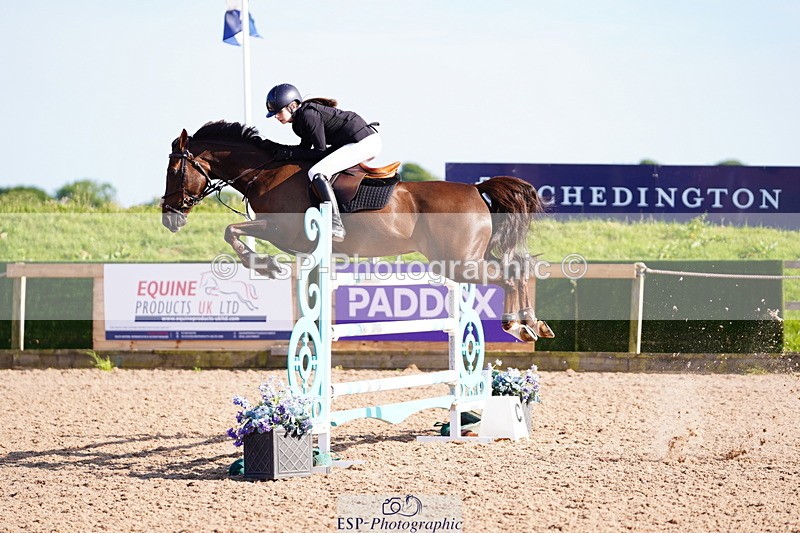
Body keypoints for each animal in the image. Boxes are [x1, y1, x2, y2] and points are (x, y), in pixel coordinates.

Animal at [160, 121, 554, 342]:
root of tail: (477, 189)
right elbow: (234, 230)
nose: (169, 218)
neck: (265, 172)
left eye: (175, 171)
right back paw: (533, 324)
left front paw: (264, 266)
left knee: (509, 276)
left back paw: (516, 326)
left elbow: (232, 230)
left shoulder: (281, 230)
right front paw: (263, 264)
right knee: (518, 268)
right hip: (469, 258)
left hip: (458, 263)